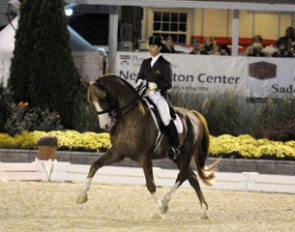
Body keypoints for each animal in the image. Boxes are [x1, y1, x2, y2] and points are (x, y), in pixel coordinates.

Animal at [77, 74, 219, 219]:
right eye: (90, 100)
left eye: (103, 98)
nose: (105, 126)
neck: (128, 116)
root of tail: (193, 114)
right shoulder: (118, 152)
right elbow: (95, 165)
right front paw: (82, 196)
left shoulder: (144, 156)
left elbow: (150, 183)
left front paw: (157, 211)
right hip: (176, 156)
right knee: (192, 177)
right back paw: (202, 210)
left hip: (186, 154)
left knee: (183, 175)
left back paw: (165, 204)